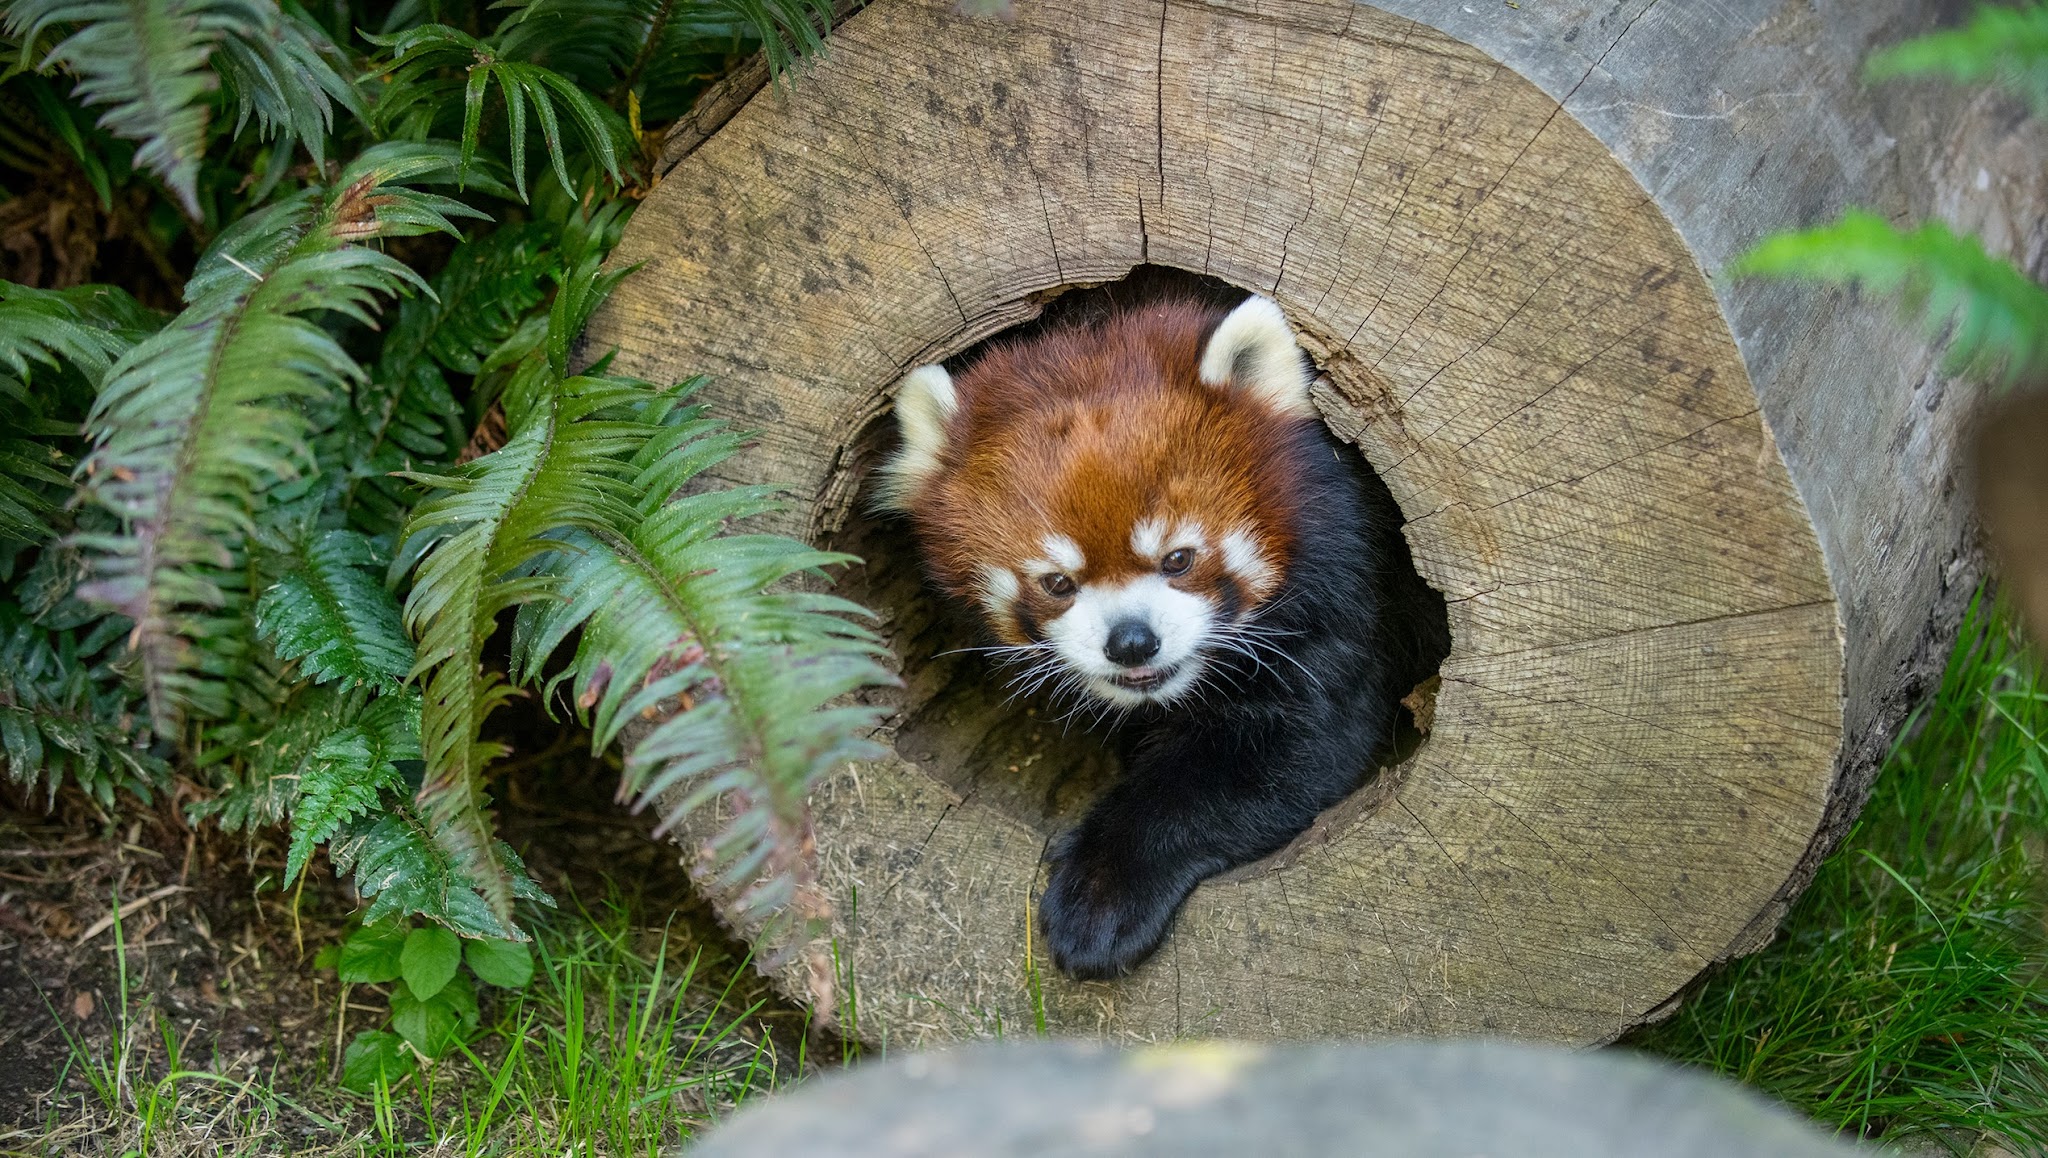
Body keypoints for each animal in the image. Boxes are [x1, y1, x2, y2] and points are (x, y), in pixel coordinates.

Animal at [876, 291, 1441, 975]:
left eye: (1177, 559)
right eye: (1057, 582)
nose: (1131, 642)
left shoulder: (1340, 613)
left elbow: (1277, 757)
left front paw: (1101, 894)